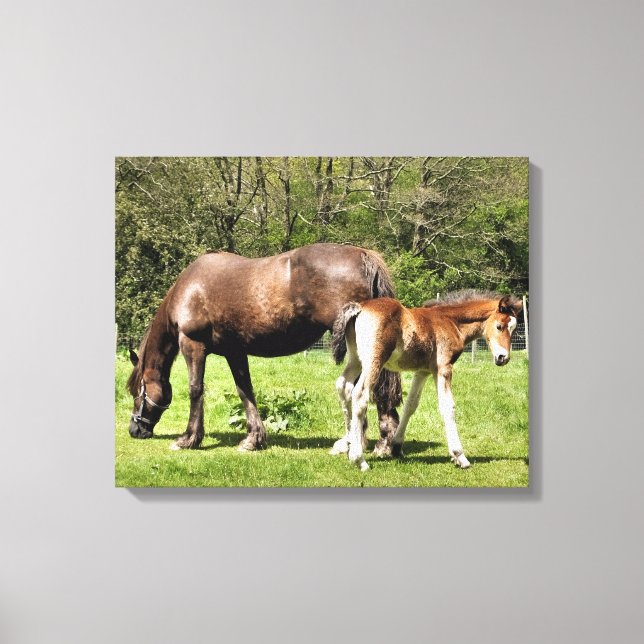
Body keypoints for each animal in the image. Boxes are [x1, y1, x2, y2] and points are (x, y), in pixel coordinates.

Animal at [126, 243, 402, 453]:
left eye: (137, 392)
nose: (135, 430)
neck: (188, 290)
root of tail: (363, 255)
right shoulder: (235, 352)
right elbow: (245, 391)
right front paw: (253, 439)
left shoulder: (193, 345)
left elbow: (195, 390)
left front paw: (188, 439)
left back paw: (378, 443)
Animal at [330, 291, 523, 471]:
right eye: (499, 326)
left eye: (513, 329)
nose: (503, 358)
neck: (451, 322)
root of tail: (360, 307)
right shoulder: (443, 368)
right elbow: (448, 407)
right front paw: (459, 456)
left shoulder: (422, 372)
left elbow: (410, 405)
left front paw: (396, 447)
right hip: (374, 361)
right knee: (359, 395)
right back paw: (358, 459)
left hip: (355, 359)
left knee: (343, 387)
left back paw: (348, 446)